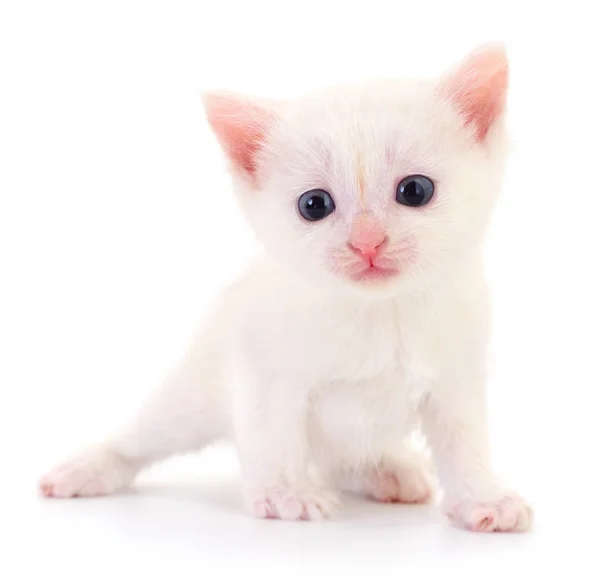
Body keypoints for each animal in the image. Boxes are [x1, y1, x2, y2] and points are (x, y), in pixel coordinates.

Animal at [39, 44, 532, 532]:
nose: (367, 242)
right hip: (189, 396)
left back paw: (386, 468)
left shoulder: (457, 380)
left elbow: (466, 445)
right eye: (314, 205)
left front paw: (484, 497)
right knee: (141, 437)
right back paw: (89, 467)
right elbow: (273, 437)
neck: (378, 312)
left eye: (415, 190)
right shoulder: (264, 375)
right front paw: (285, 495)